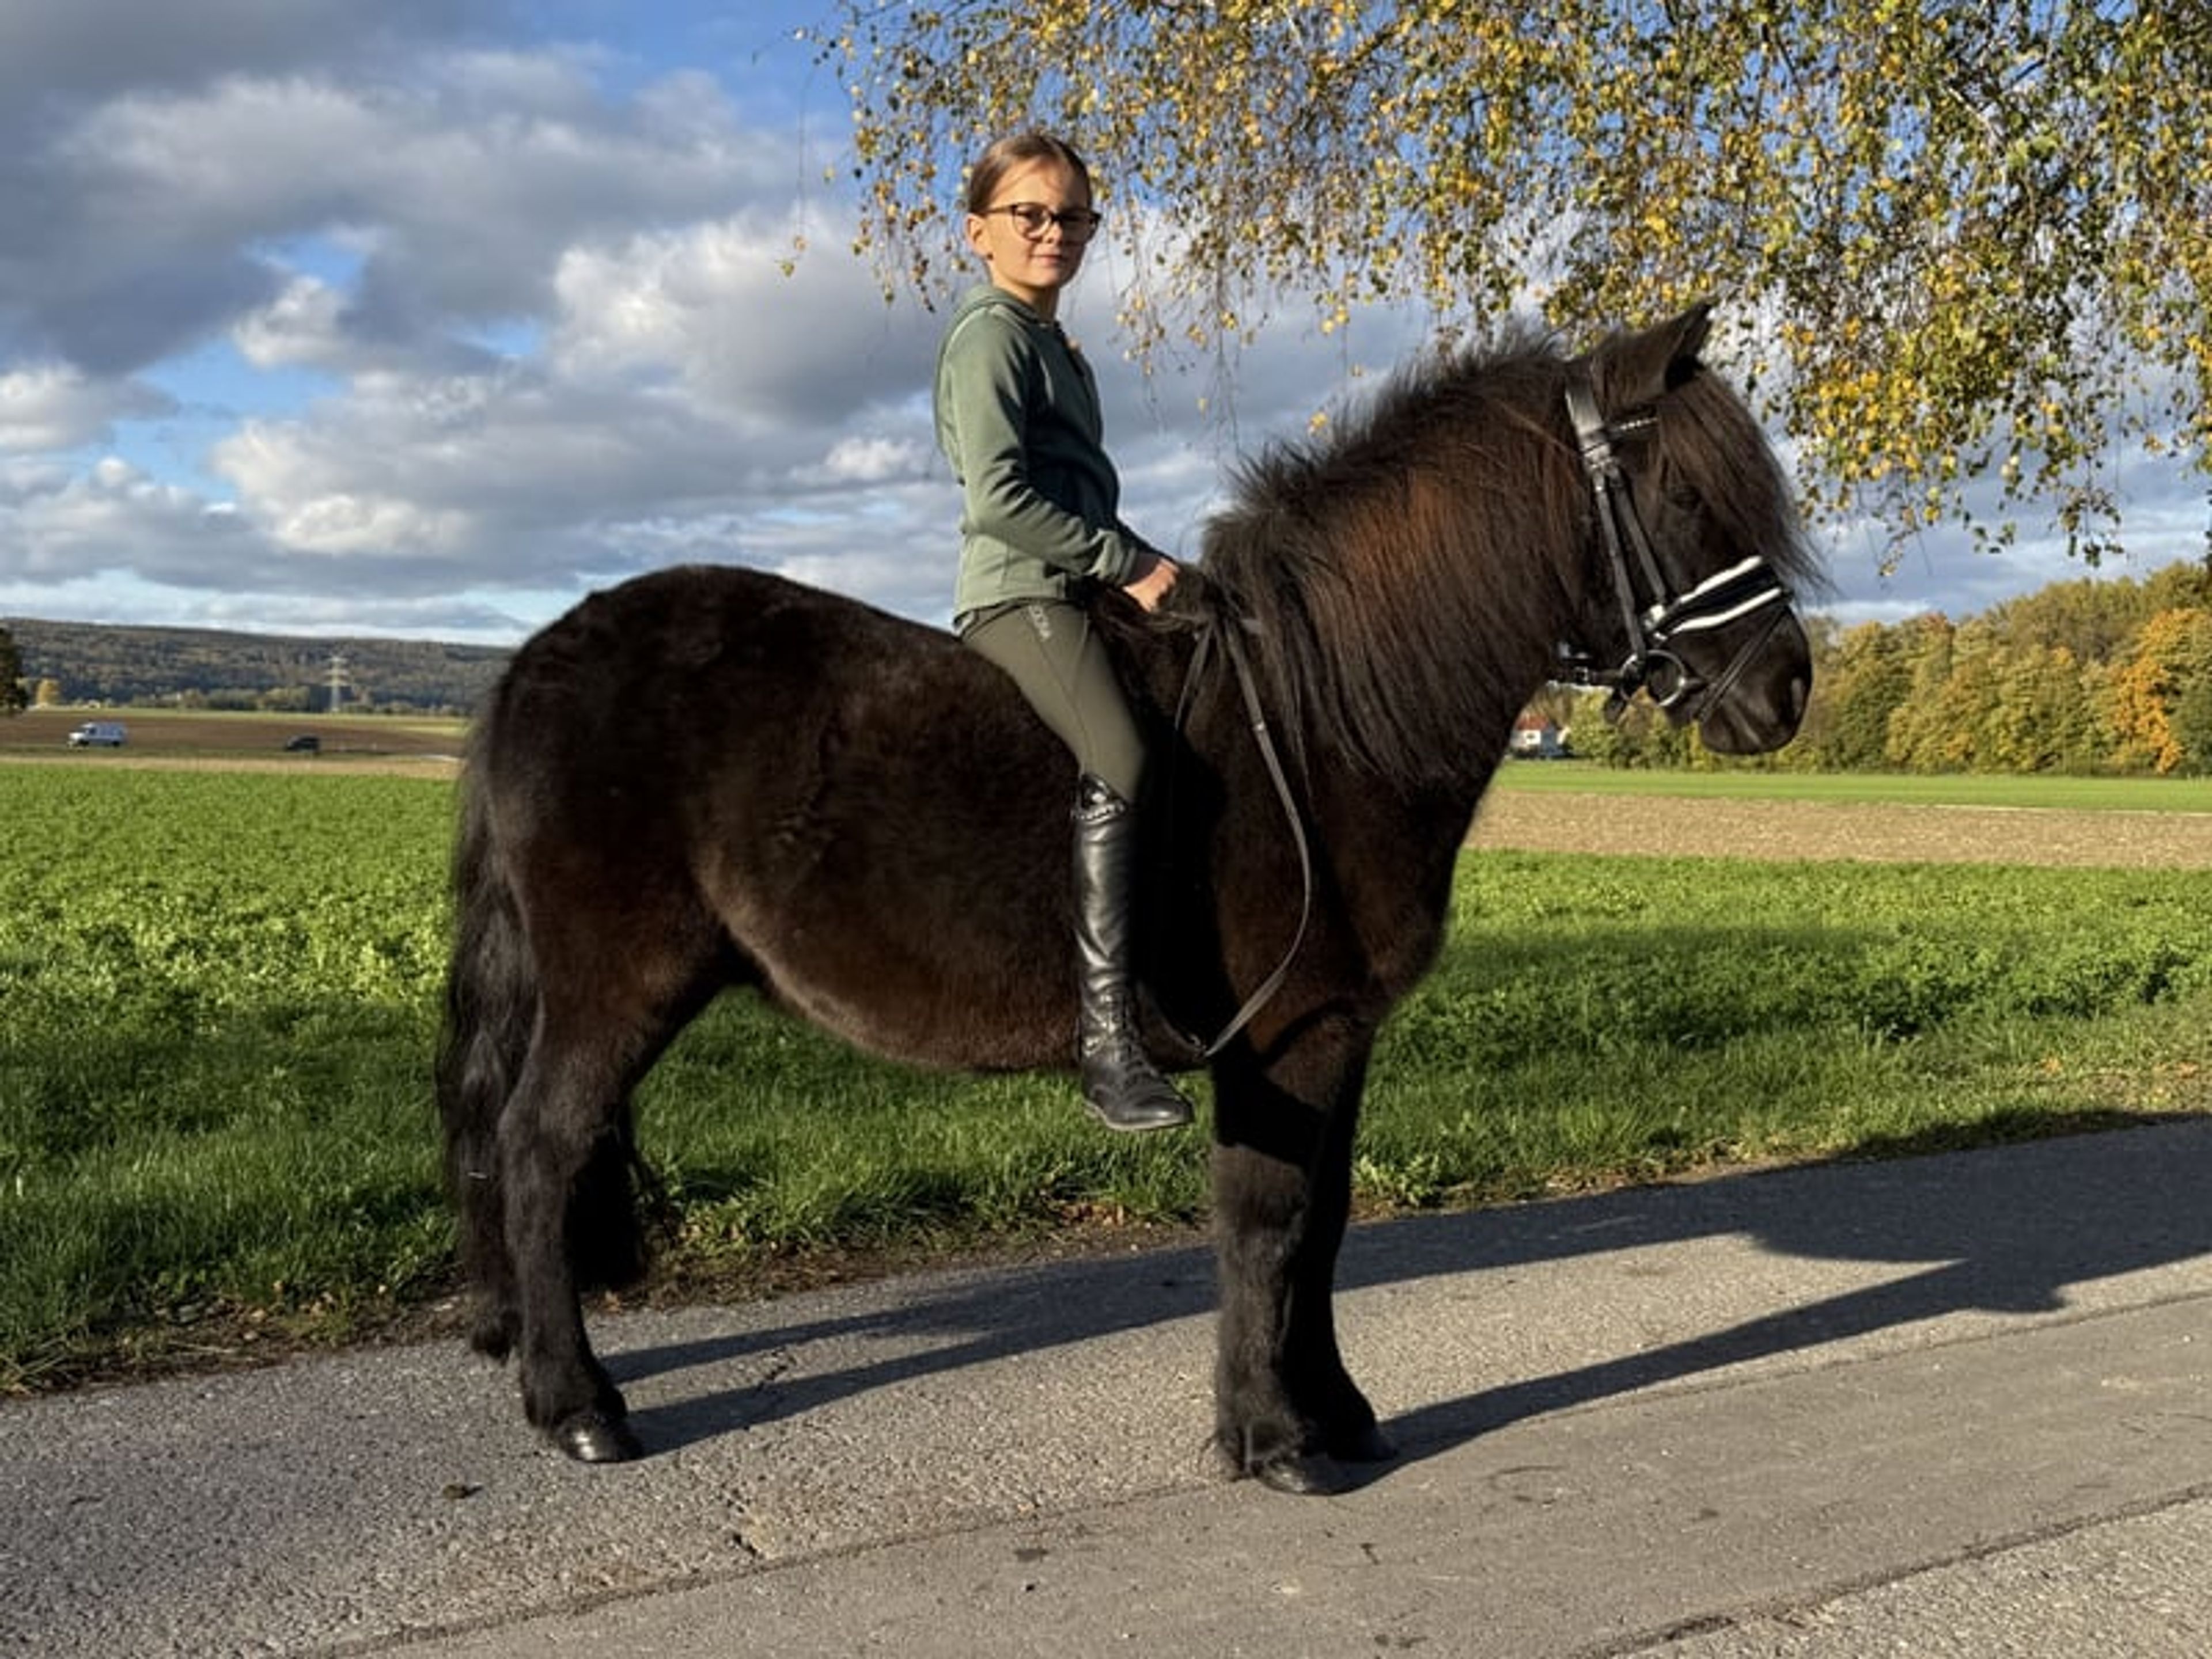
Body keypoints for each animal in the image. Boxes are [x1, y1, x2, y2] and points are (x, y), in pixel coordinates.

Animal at [437, 303, 1821, 1495]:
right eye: (1685, 495)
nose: (1788, 691)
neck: (1324, 724)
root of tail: (536, 660)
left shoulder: (1342, 1036)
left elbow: (1325, 1224)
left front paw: (1337, 1411)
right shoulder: (1286, 1040)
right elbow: (1266, 1220)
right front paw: (1269, 1438)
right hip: (619, 986)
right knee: (540, 1147)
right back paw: (579, 1408)